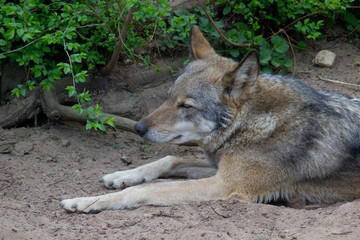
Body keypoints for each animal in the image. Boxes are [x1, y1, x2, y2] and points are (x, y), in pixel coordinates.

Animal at [60, 25, 360, 214]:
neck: (250, 124)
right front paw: (121, 176)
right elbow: (169, 159)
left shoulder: (225, 185)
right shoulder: (218, 170)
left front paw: (85, 202)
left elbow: (145, 190)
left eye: (186, 106)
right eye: (168, 97)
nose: (138, 127)